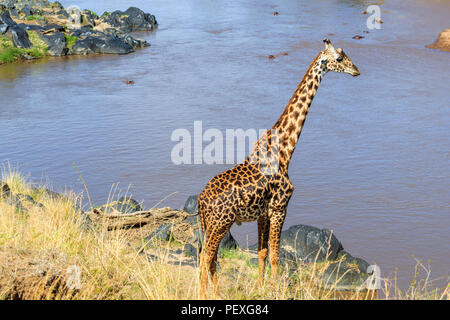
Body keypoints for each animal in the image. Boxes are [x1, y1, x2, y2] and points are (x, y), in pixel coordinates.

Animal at [199, 38, 360, 298]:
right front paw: (276, 290)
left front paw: (260, 287)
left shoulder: (263, 213)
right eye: (339, 58)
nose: (356, 70)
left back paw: (215, 291)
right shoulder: (280, 208)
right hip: (220, 223)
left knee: (208, 256)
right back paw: (205, 293)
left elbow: (263, 252)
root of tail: (201, 201)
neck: (286, 150)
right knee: (207, 256)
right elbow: (275, 255)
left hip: (208, 224)